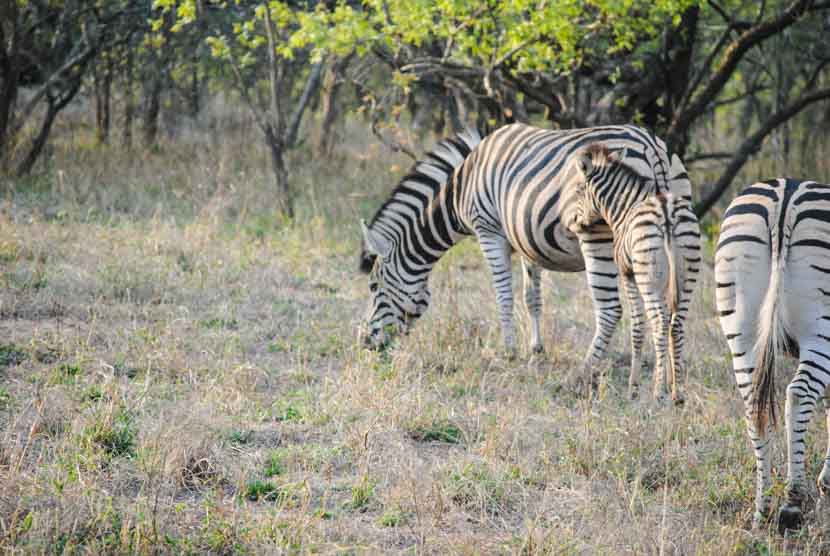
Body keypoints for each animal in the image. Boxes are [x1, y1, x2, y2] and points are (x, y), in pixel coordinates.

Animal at [359, 123, 699, 399]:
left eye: (374, 287)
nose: (364, 342)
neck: (462, 184)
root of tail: (651, 145)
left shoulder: (489, 231)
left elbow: (504, 297)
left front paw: (508, 352)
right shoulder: (524, 238)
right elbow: (531, 296)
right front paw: (536, 350)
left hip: (598, 234)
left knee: (610, 310)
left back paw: (580, 377)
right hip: (675, 237)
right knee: (671, 314)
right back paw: (669, 383)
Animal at [716, 178, 830, 532]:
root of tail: (785, 197)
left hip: (740, 327)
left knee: (754, 407)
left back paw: (762, 508)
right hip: (822, 328)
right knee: (798, 394)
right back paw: (791, 504)